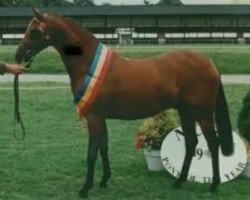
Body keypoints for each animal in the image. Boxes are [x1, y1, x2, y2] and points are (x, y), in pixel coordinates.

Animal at [16, 8, 234, 198]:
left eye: (34, 30)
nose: (18, 55)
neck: (88, 64)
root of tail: (208, 62)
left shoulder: (93, 117)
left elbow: (91, 153)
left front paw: (85, 188)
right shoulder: (100, 117)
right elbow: (103, 147)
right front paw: (104, 180)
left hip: (203, 113)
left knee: (212, 143)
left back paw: (213, 185)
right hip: (186, 111)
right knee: (191, 142)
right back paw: (179, 182)